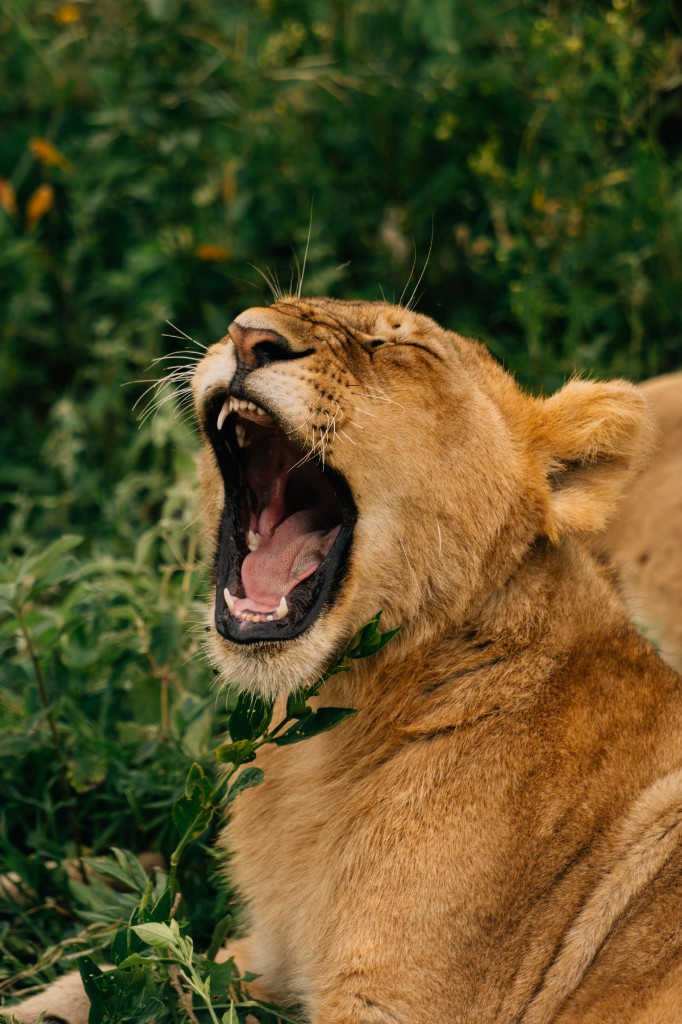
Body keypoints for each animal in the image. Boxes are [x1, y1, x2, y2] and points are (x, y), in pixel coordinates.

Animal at [10, 299, 682, 1024]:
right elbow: (111, 974)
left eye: (395, 346)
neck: (329, 738)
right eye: (252, 319)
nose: (249, 336)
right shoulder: (269, 956)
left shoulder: (400, 1003)